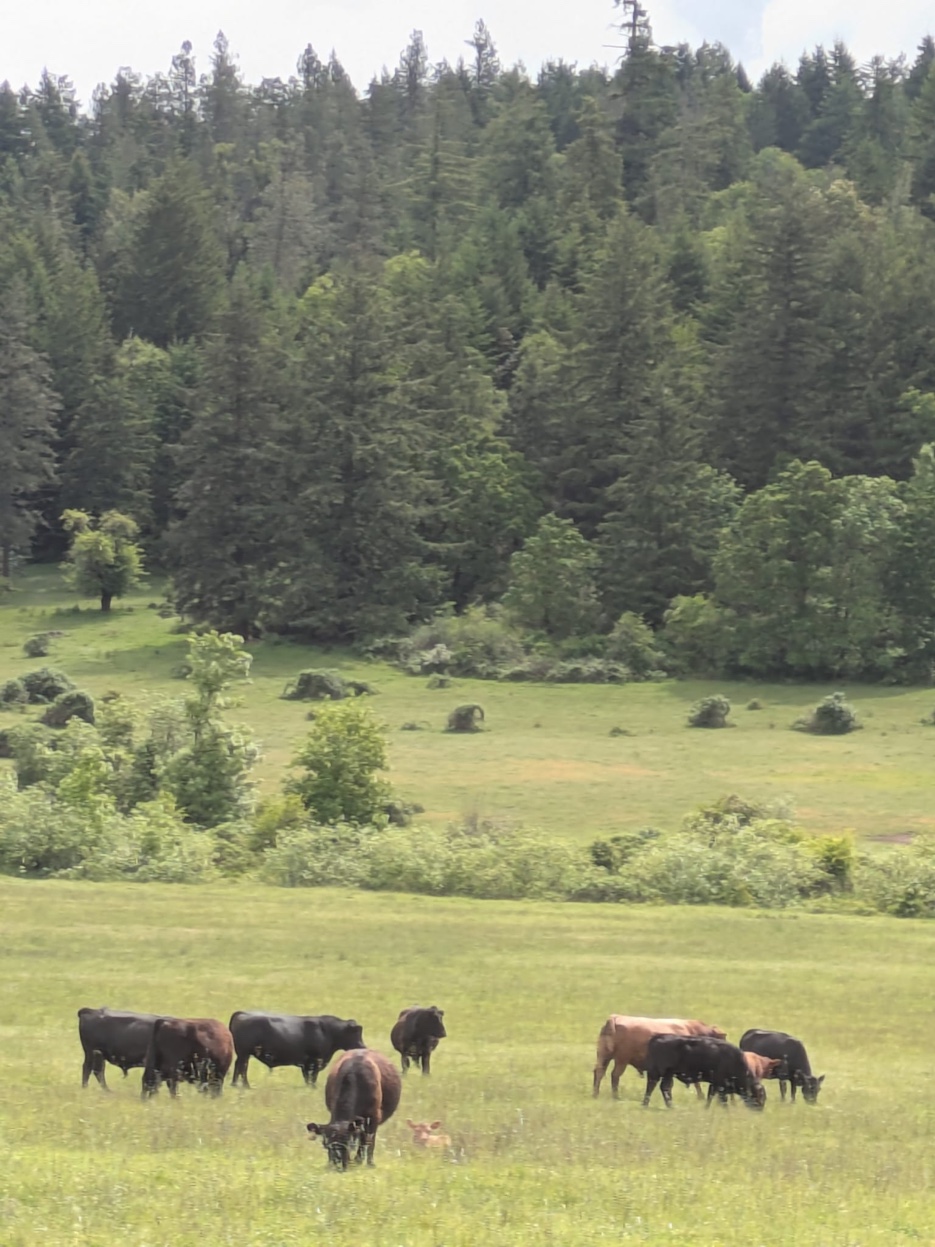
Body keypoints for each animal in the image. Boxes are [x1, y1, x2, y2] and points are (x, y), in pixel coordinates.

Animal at [229, 1012, 364, 1089]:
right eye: (355, 1033)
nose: (363, 1047)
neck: (328, 1031)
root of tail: (243, 1014)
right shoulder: (314, 1061)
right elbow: (312, 1077)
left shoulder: (307, 1063)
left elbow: (308, 1077)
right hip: (244, 1054)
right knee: (242, 1068)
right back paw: (245, 1086)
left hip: (243, 1054)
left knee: (238, 1066)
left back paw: (235, 1084)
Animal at [592, 1015, 727, 1099]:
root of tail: (615, 1017)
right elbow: (695, 1083)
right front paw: (701, 1096)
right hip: (621, 1060)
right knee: (615, 1075)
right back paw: (615, 1096)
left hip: (604, 1056)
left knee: (599, 1072)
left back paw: (596, 1094)